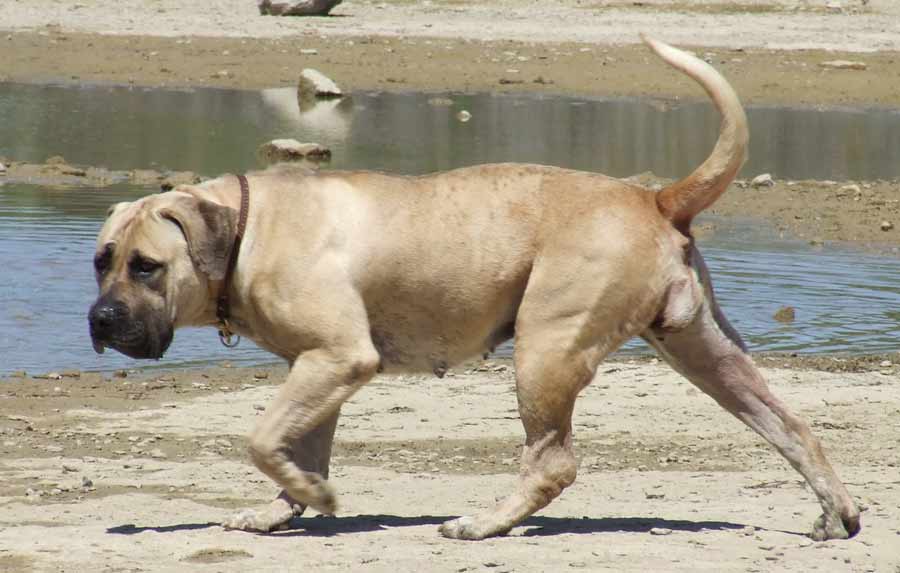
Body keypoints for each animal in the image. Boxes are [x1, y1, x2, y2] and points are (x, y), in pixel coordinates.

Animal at [88, 36, 860, 540]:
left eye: (146, 266)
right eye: (101, 260)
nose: (98, 318)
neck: (249, 226)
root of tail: (654, 198)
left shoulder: (338, 358)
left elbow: (261, 435)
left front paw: (313, 494)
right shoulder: (320, 369)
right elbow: (294, 442)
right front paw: (287, 503)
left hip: (546, 351)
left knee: (552, 462)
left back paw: (485, 522)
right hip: (708, 354)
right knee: (792, 427)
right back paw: (838, 511)